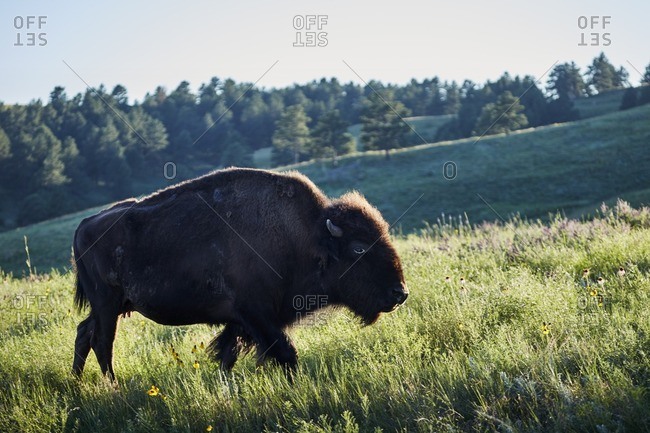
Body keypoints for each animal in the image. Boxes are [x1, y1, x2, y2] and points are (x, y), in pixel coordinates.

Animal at [72, 168, 407, 380]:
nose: (400, 293)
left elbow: (227, 355)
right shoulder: (257, 316)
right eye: (359, 248)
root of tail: (84, 225)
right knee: (102, 342)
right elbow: (287, 354)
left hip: (115, 306)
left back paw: (77, 383)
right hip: (107, 304)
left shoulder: (241, 322)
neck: (308, 237)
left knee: (84, 333)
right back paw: (113, 387)